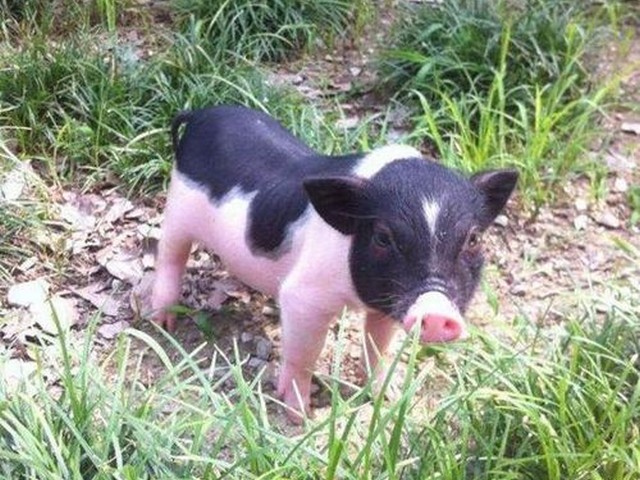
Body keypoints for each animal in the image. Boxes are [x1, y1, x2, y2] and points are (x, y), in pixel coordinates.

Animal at [152, 106, 516, 420]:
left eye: (473, 239)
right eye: (383, 237)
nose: (437, 312)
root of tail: (200, 114)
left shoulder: (386, 305)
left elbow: (378, 348)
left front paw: (388, 396)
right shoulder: (303, 297)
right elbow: (305, 354)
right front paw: (299, 416)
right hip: (178, 206)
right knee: (169, 254)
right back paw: (162, 322)